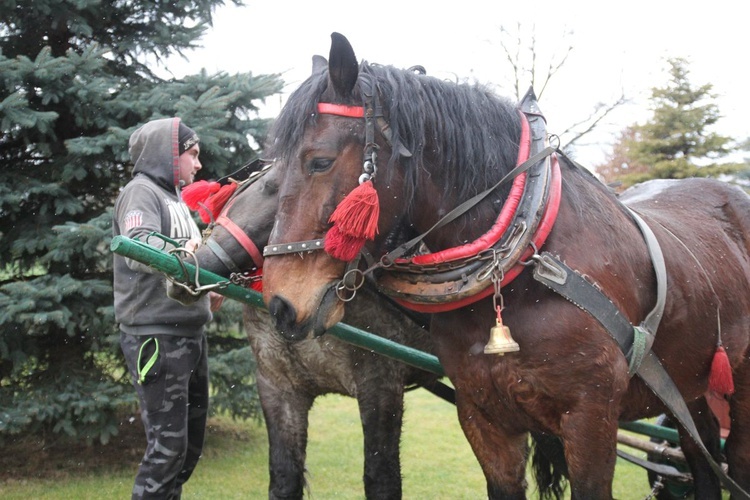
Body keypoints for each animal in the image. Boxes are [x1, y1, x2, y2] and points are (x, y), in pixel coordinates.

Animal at [168, 166, 450, 498]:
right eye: (269, 186)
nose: (192, 267)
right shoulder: (277, 386)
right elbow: (284, 476)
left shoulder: (381, 387)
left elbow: (382, 479)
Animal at [260, 33, 750, 498]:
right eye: (271, 176)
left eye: (319, 161)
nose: (280, 304)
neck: (526, 265)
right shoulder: (484, 415)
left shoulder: (590, 417)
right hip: (689, 383)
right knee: (702, 453)